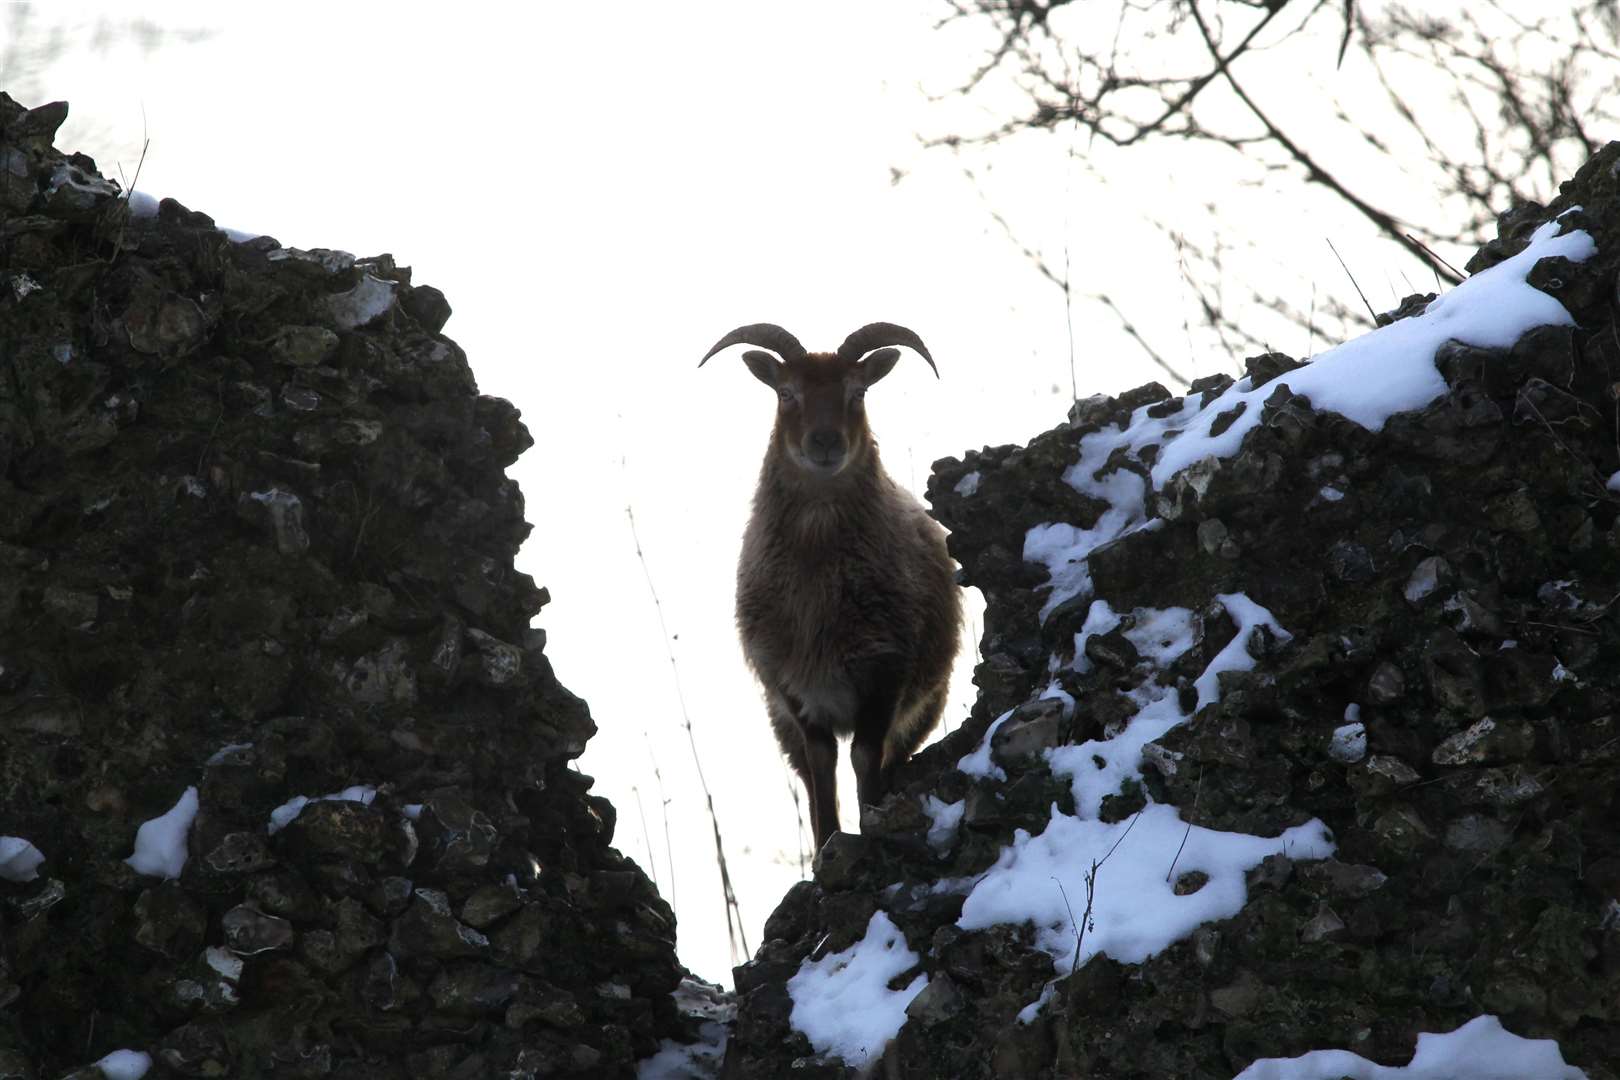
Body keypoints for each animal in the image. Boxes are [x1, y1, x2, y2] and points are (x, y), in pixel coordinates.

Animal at [699, 320, 959, 854]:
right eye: (786, 393)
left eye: (857, 392)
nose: (824, 443)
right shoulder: (791, 685)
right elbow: (820, 765)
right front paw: (826, 848)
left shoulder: (885, 671)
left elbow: (864, 756)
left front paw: (870, 823)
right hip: (779, 719)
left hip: (926, 703)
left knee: (891, 757)